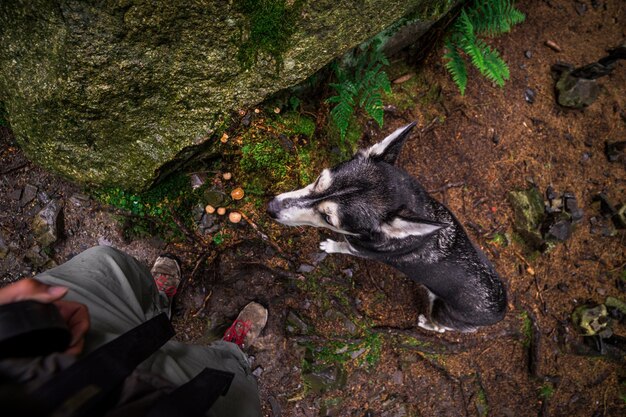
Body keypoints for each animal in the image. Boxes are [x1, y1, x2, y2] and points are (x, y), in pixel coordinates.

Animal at [266, 121, 504, 332]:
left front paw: (331, 246)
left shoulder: (358, 249)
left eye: (328, 218)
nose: (271, 207)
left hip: (442, 313)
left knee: (441, 327)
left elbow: (343, 246)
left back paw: (426, 324)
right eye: (318, 180)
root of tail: (501, 310)